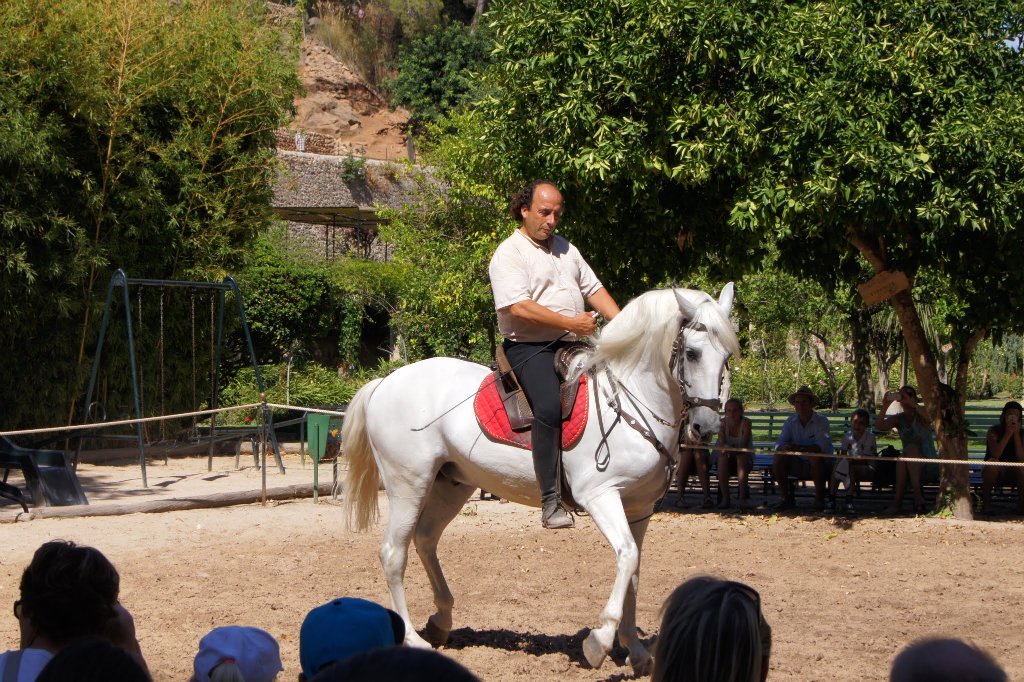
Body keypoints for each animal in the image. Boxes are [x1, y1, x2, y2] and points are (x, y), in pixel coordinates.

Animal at [342, 284, 737, 671]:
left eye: (727, 355)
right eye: (692, 353)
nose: (705, 427)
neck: (629, 401)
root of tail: (385, 382)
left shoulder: (639, 508)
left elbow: (635, 569)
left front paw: (636, 651)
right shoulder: (600, 496)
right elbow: (626, 555)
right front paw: (599, 642)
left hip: (451, 485)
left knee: (425, 539)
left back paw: (441, 621)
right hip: (408, 485)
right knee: (394, 553)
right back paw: (413, 638)